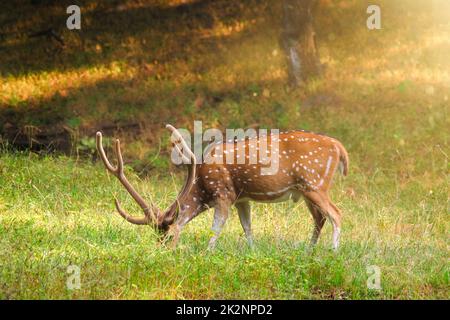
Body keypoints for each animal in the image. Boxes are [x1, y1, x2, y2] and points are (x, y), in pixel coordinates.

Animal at [96, 124, 350, 250]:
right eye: (156, 236)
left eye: (167, 237)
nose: (159, 251)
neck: (201, 187)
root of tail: (339, 147)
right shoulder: (242, 199)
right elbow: (248, 228)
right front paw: (252, 253)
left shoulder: (224, 193)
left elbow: (215, 228)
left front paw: (207, 253)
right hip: (306, 191)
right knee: (320, 218)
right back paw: (308, 251)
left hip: (314, 183)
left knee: (336, 214)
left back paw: (333, 251)